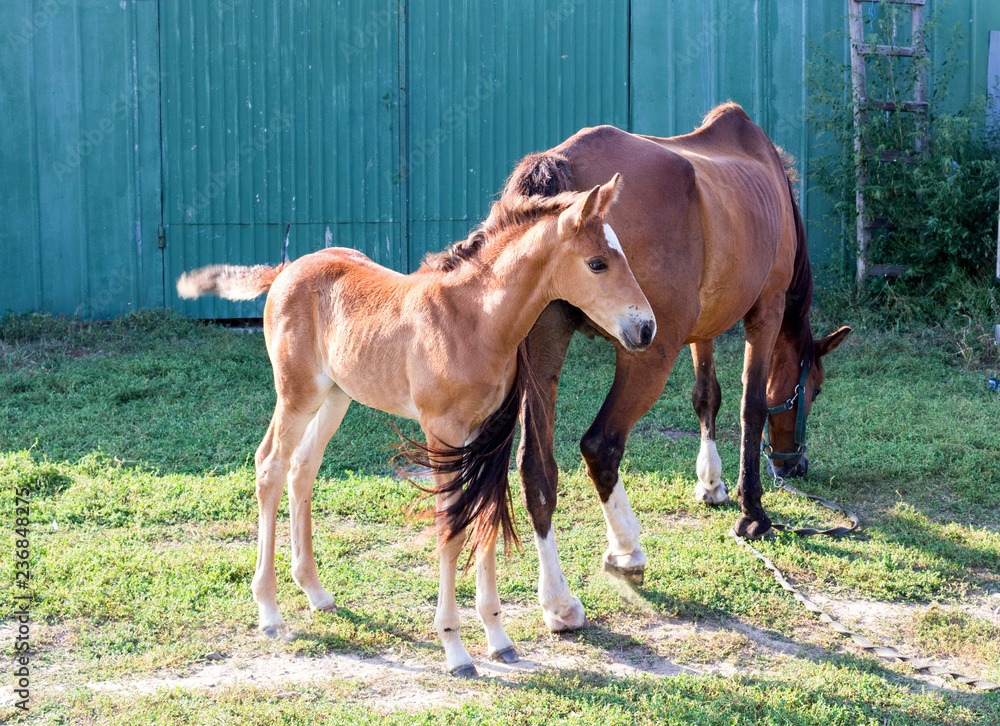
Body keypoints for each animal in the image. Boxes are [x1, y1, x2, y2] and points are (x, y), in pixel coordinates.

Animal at [176, 175, 656, 677]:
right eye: (597, 263)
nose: (646, 328)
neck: (474, 321)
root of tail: (286, 270)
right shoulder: (441, 432)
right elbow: (452, 529)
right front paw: (455, 650)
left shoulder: (484, 436)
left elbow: (484, 518)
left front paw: (499, 639)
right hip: (297, 394)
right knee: (269, 465)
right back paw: (269, 612)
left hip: (337, 395)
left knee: (302, 468)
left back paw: (316, 592)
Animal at [510, 103, 852, 632]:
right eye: (814, 389)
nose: (795, 464)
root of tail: (562, 166)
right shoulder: (766, 311)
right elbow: (751, 407)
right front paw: (753, 511)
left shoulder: (704, 327)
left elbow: (706, 396)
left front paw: (711, 483)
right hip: (650, 351)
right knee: (601, 445)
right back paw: (627, 552)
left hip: (545, 351)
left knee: (536, 470)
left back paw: (559, 602)